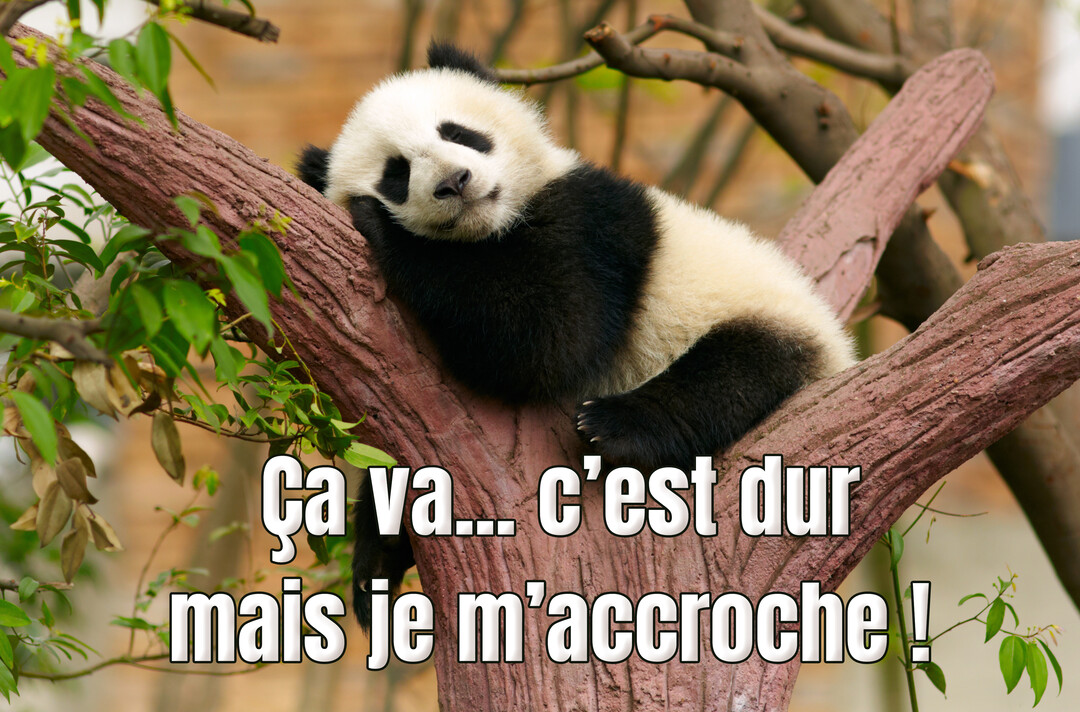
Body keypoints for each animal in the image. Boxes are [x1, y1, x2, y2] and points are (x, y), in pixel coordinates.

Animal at [298, 43, 855, 627]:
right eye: (397, 173)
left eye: (459, 133)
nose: (455, 181)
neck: (492, 227)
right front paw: (377, 555)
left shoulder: (592, 223)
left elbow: (549, 337)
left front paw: (382, 227)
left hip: (763, 316)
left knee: (733, 372)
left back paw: (614, 426)